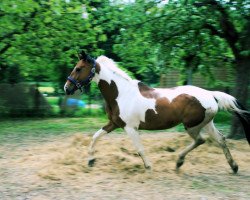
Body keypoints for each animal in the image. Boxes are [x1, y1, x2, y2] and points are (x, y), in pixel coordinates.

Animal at [64, 50, 250, 173]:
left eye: (79, 68)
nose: (67, 88)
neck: (121, 93)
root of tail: (211, 94)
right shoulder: (114, 124)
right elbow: (95, 137)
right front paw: (91, 161)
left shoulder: (130, 128)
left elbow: (140, 149)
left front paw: (148, 166)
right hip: (207, 123)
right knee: (220, 139)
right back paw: (233, 166)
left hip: (192, 126)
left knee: (201, 140)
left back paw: (179, 162)